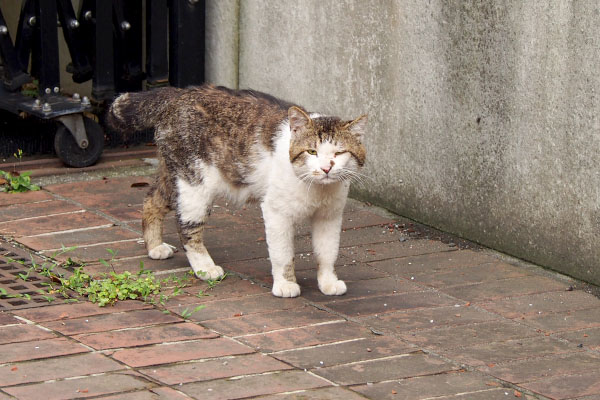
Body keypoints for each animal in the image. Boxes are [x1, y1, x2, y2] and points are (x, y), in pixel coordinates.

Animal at [109, 84, 366, 296]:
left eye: (339, 153)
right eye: (312, 151)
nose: (326, 168)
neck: (317, 191)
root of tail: (180, 93)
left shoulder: (329, 216)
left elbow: (327, 252)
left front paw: (327, 282)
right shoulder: (276, 213)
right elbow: (282, 254)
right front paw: (285, 284)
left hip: (173, 178)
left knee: (150, 201)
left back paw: (155, 247)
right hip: (194, 185)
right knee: (187, 228)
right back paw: (205, 267)